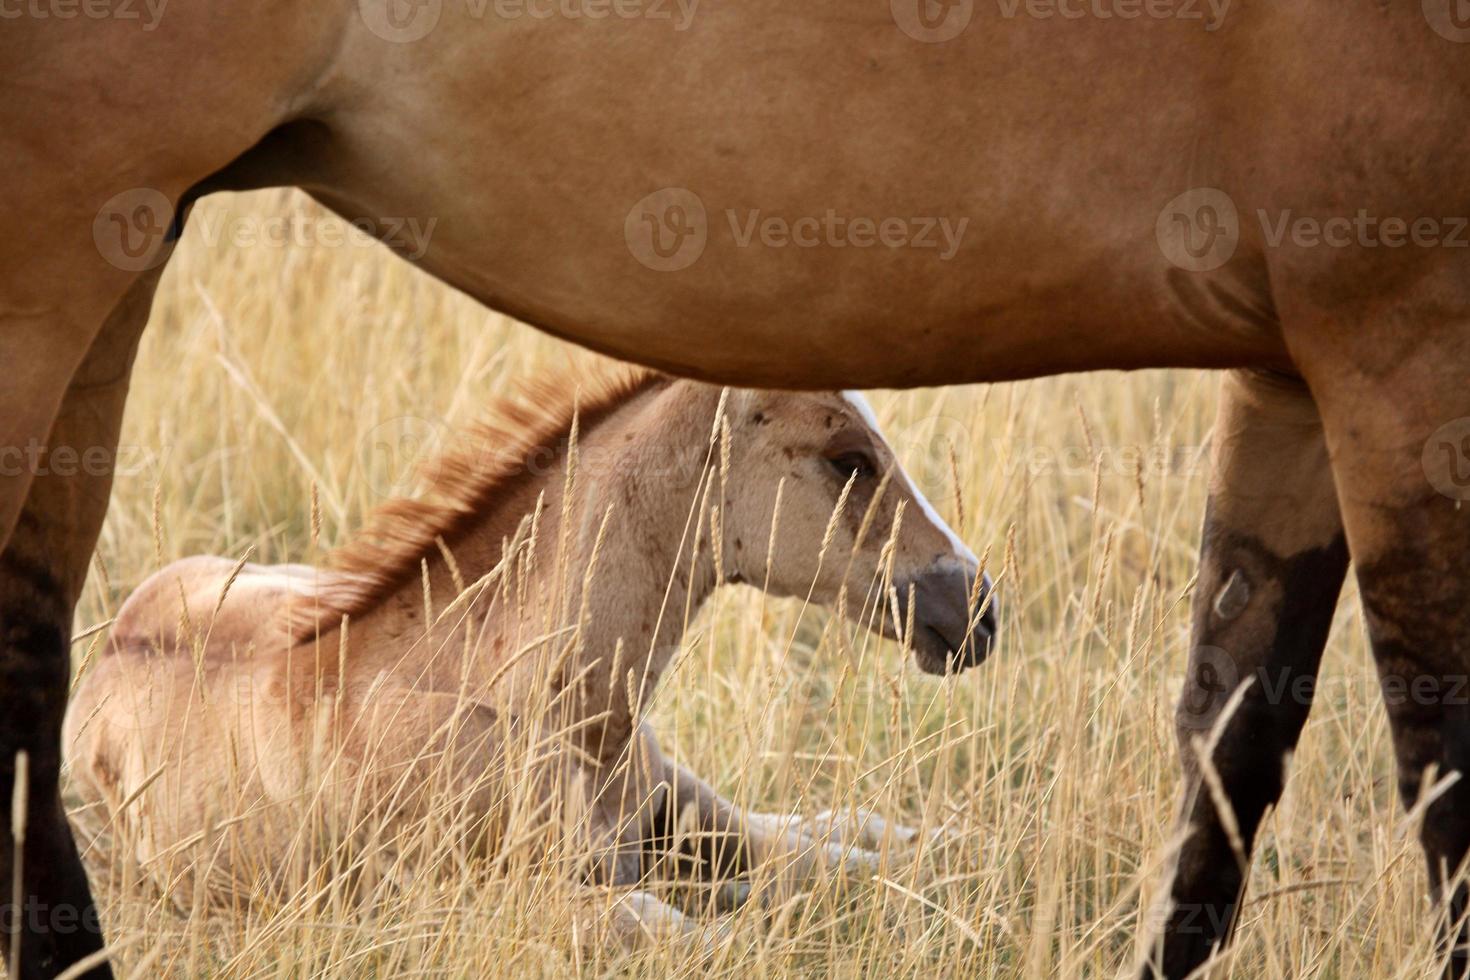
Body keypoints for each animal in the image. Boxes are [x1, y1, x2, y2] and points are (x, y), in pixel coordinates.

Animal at [63, 371, 993, 946]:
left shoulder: (693, 818)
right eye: (848, 460)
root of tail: (110, 640)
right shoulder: (488, 902)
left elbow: (855, 858)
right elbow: (691, 928)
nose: (980, 609)